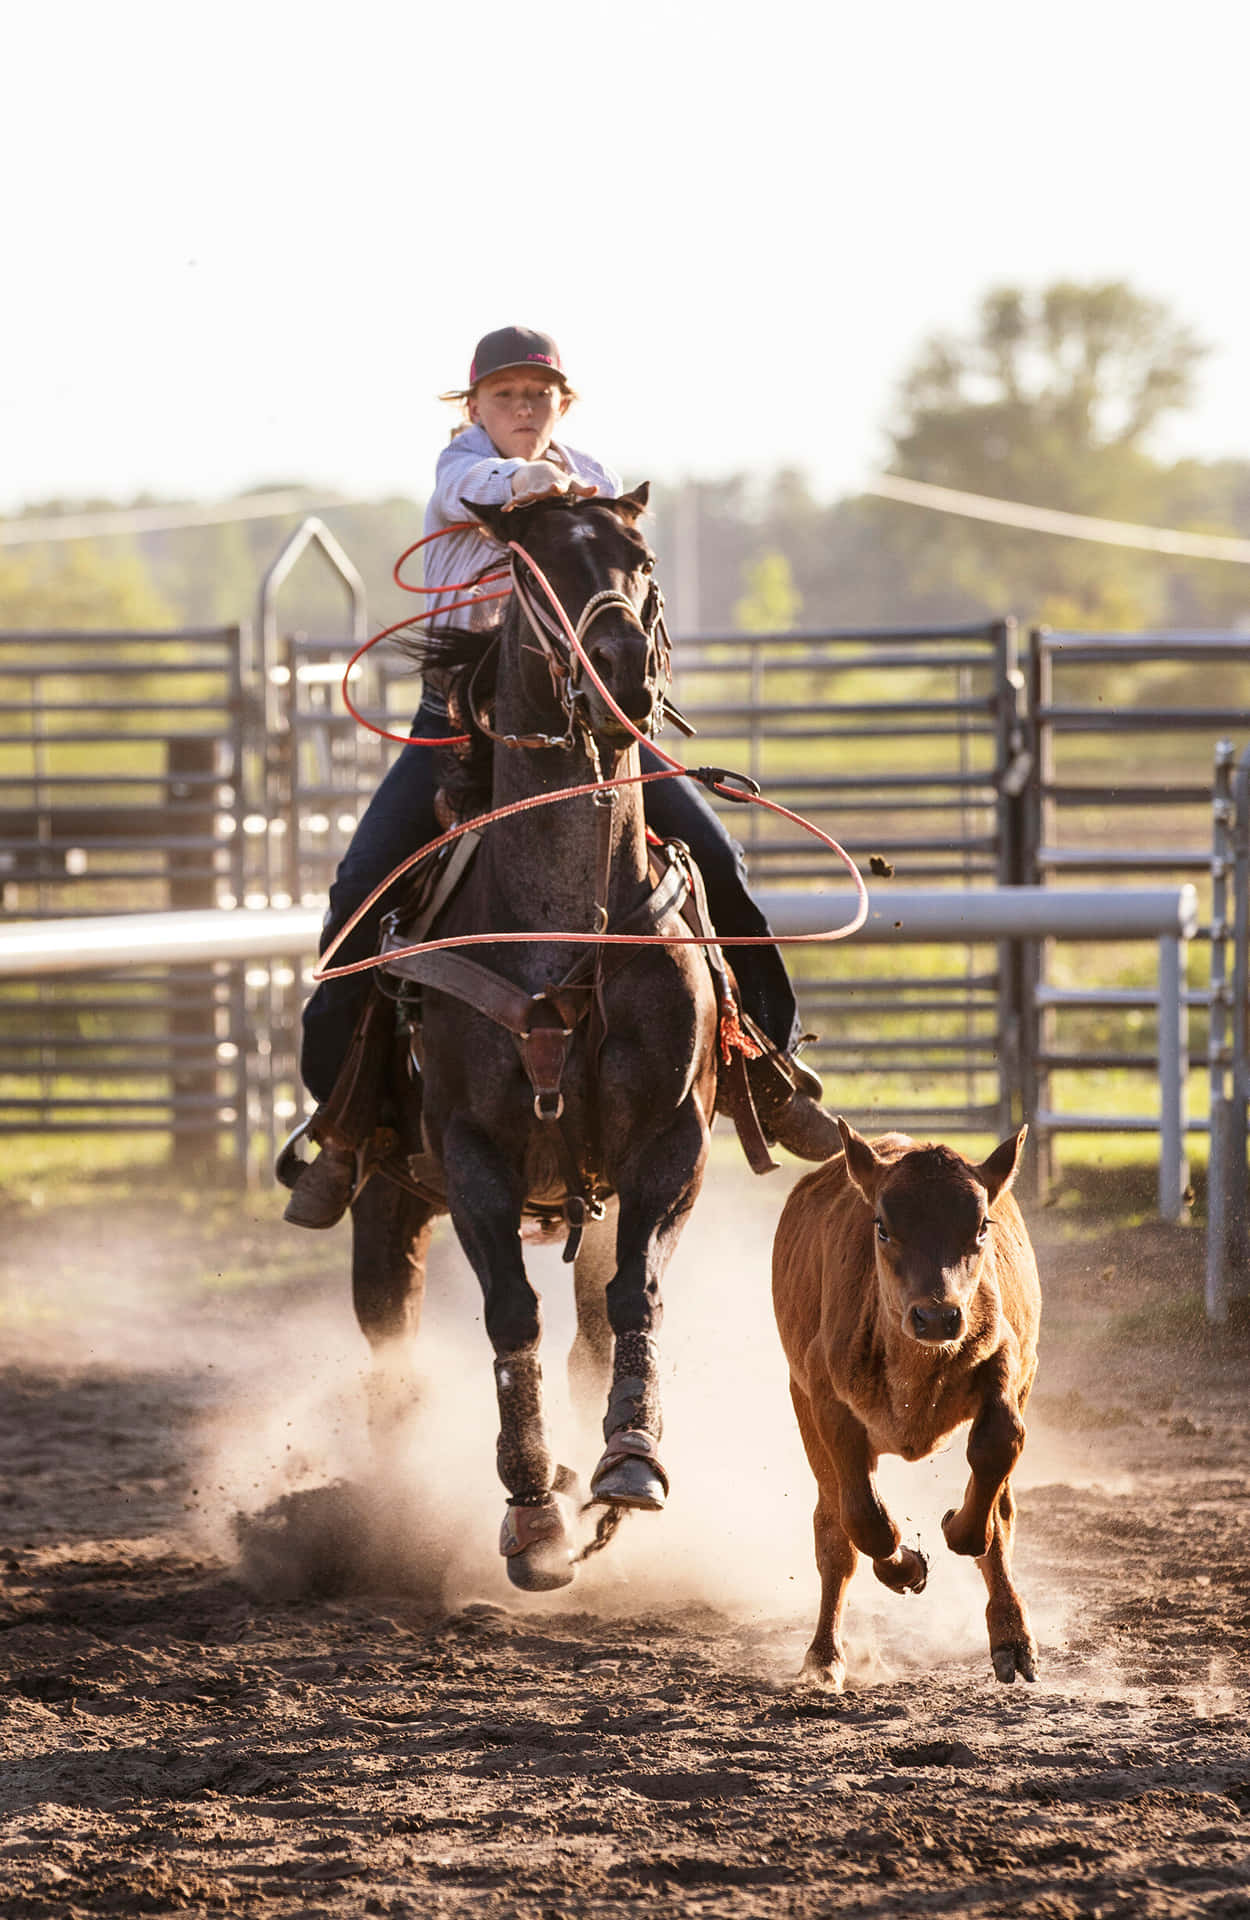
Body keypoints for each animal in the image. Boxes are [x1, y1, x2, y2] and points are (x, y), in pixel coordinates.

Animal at [347, 491, 718, 1589]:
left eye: (641, 559)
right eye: (532, 568)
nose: (623, 668)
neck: (564, 930)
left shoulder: (668, 1145)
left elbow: (631, 1299)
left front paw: (628, 1460)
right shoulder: (472, 1154)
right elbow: (511, 1314)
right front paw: (530, 1515)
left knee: (592, 1317)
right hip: (386, 1198)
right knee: (390, 1340)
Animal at [775, 1121, 1044, 1689]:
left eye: (981, 1226)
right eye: (882, 1226)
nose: (937, 1316)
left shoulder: (1007, 1358)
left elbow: (996, 1455)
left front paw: (956, 1526)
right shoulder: (825, 1400)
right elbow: (864, 1519)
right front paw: (907, 1566)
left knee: (1003, 1517)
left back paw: (1013, 1639)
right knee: (834, 1535)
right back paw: (824, 1658)